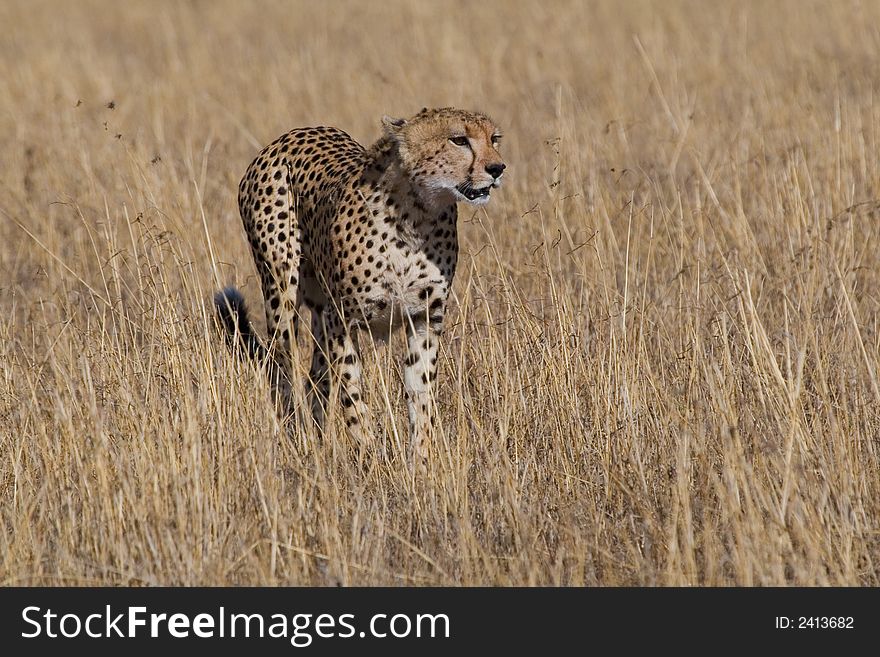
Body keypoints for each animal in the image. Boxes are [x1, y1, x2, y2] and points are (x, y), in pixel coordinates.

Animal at [214, 107, 506, 462]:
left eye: (494, 138)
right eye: (459, 140)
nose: (497, 168)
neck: (417, 216)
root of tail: (290, 135)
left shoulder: (424, 319)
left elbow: (420, 393)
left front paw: (420, 460)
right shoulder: (342, 320)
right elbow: (353, 395)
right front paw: (368, 456)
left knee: (315, 379)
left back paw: (319, 440)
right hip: (281, 293)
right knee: (282, 369)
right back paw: (298, 440)